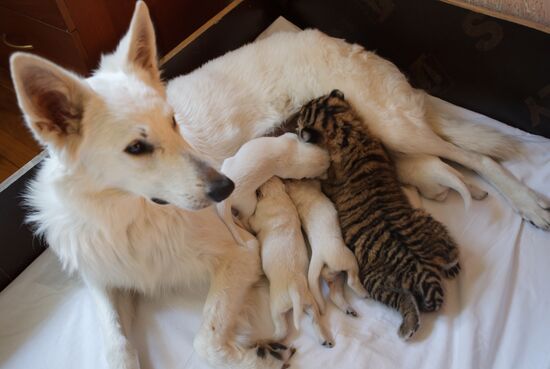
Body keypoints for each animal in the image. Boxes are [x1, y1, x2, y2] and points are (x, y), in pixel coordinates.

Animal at [249, 177, 334, 346]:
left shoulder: (257, 217)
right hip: (309, 302)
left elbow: (249, 221)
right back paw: (324, 339)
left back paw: (265, 339)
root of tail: (294, 288)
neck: (276, 194)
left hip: (276, 308)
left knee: (281, 331)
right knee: (315, 319)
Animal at [286, 178, 368, 314]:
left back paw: (348, 309)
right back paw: (363, 293)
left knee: (334, 293)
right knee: (351, 280)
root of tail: (319, 255)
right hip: (347, 258)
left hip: (336, 278)